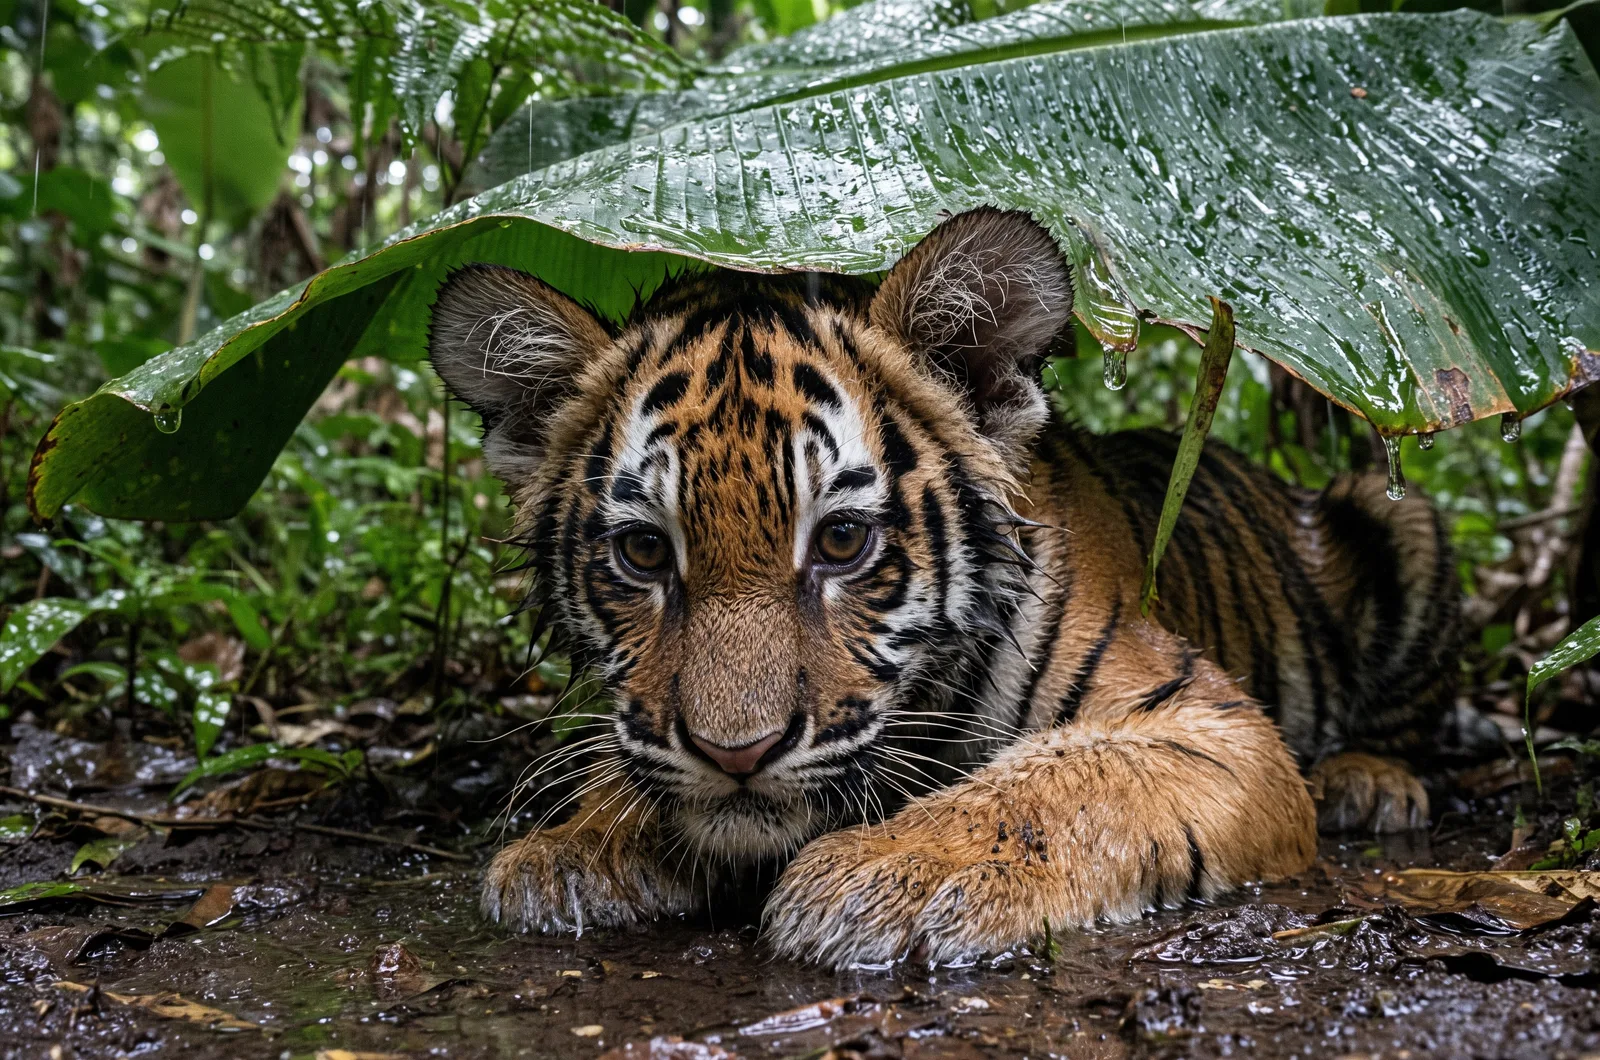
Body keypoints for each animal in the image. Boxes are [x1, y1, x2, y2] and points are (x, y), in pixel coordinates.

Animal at [428, 208, 1460, 966]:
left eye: (841, 540)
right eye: (644, 553)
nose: (736, 754)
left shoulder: (1213, 726)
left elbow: (1058, 784)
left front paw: (890, 874)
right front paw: (567, 851)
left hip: (1397, 513)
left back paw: (1370, 783)